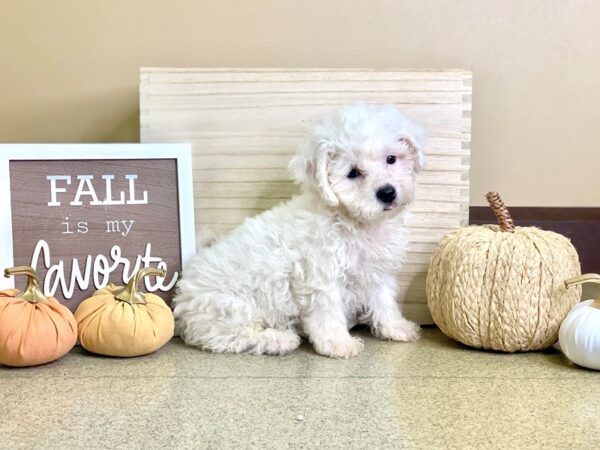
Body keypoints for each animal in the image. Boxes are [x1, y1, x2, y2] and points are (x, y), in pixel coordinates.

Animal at [173, 103, 424, 358]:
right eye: (353, 173)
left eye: (391, 159)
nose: (387, 192)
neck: (354, 222)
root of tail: (183, 293)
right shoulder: (321, 277)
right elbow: (328, 313)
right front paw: (338, 343)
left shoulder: (377, 271)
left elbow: (383, 301)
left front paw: (396, 327)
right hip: (229, 308)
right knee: (233, 337)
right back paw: (280, 340)